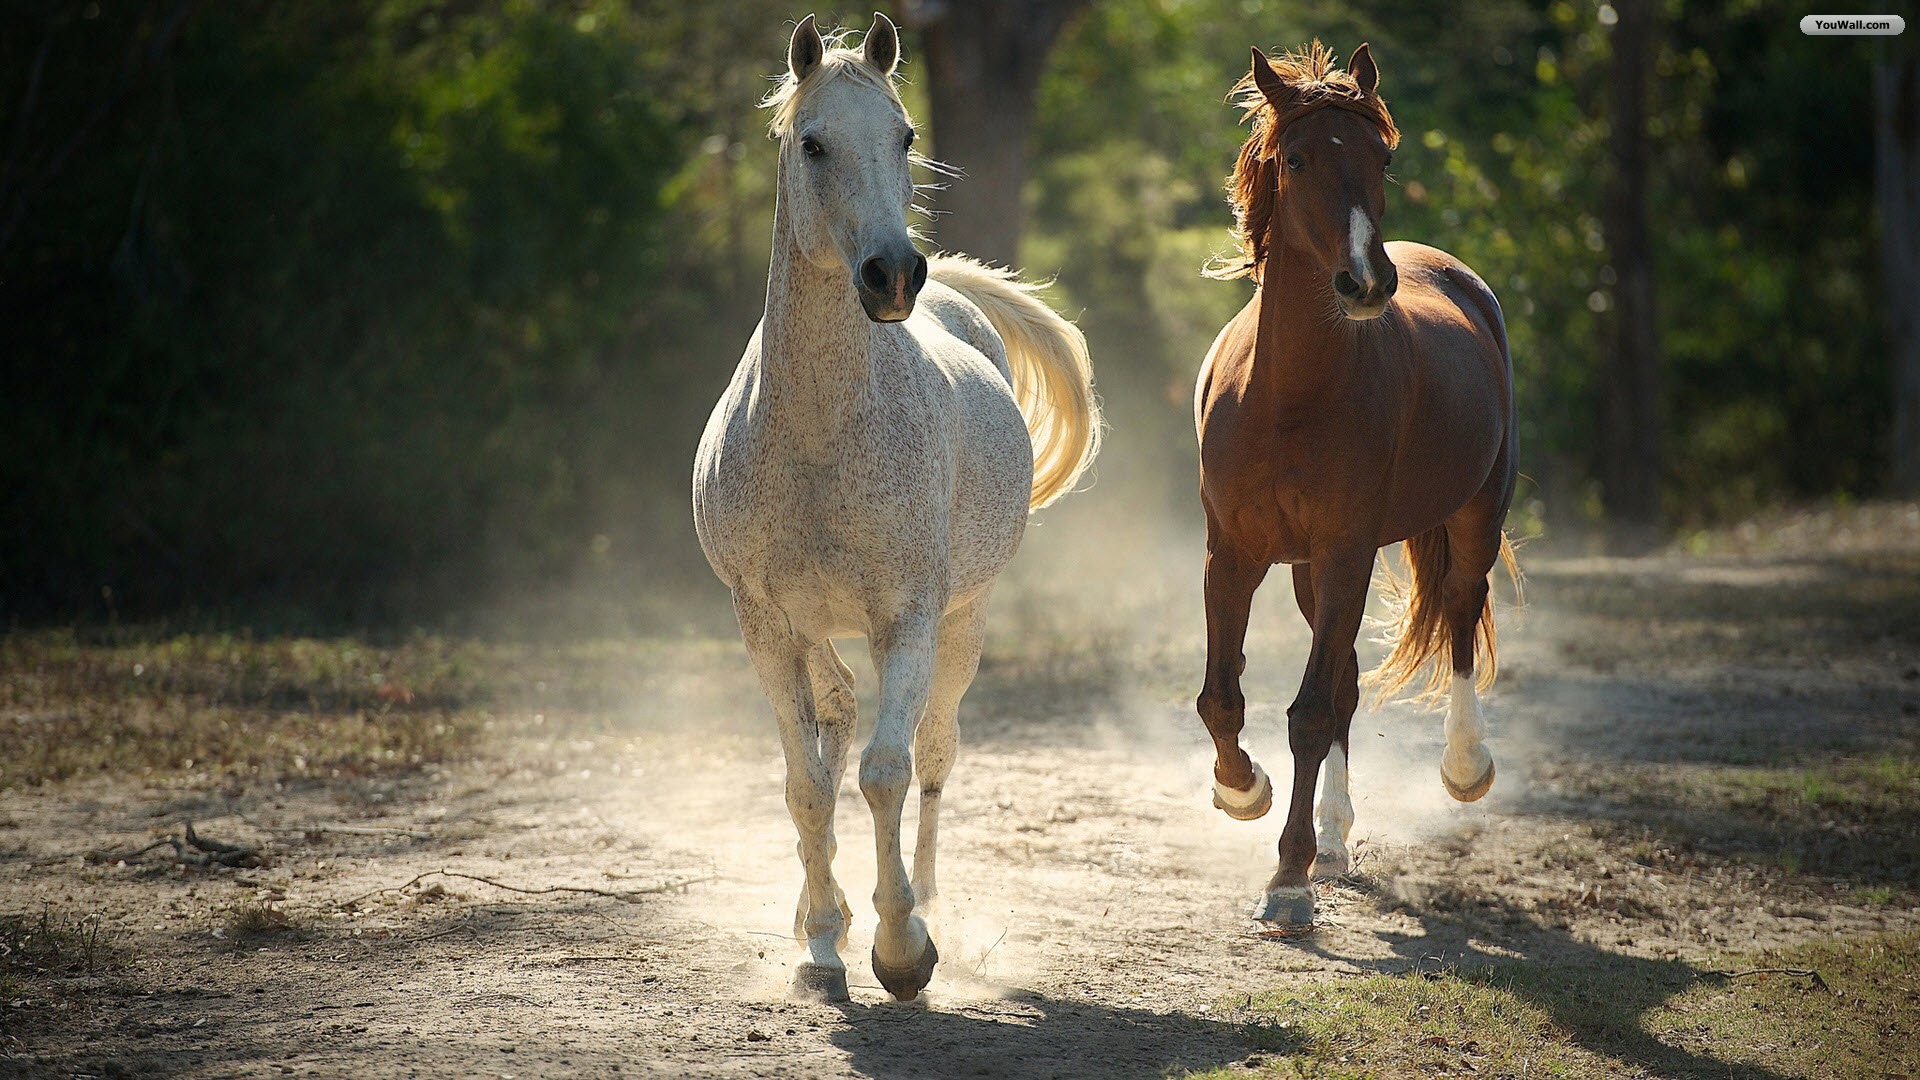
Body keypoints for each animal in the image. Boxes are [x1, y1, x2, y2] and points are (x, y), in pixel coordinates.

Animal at [695, 14, 1105, 999]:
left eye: (905, 136)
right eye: (813, 143)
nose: (892, 276)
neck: (818, 434)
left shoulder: (909, 618)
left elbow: (884, 771)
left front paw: (902, 946)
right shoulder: (764, 622)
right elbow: (807, 781)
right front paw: (820, 944)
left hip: (965, 622)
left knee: (932, 756)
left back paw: (929, 909)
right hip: (814, 629)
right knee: (837, 717)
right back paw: (823, 919)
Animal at [1198, 37, 1512, 922]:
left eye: (1384, 157)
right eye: (1297, 158)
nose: (1367, 282)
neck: (1289, 396)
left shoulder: (1346, 551)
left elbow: (1305, 713)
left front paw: (1287, 878)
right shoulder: (1233, 554)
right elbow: (1223, 698)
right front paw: (1243, 790)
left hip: (1476, 511)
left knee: (1460, 611)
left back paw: (1464, 767)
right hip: (1307, 569)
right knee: (1343, 684)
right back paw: (1335, 839)